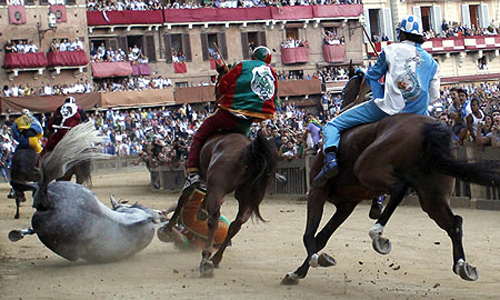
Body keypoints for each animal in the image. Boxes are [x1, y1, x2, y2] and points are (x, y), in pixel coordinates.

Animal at [158, 132, 278, 278]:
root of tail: (248, 152)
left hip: (218, 187)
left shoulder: (197, 181)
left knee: (214, 219)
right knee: (236, 224)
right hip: (248, 197)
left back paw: (205, 260)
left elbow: (185, 196)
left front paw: (167, 228)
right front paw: (201, 211)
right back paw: (216, 258)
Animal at [282, 71, 500, 284]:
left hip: (366, 168)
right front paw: (298, 272)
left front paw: (311, 262)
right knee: (453, 223)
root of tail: (428, 128)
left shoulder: (317, 191)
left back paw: (377, 233)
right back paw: (462, 265)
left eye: (343, 90)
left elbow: (310, 234)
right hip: (432, 195)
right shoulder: (346, 205)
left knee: (399, 188)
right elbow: (321, 237)